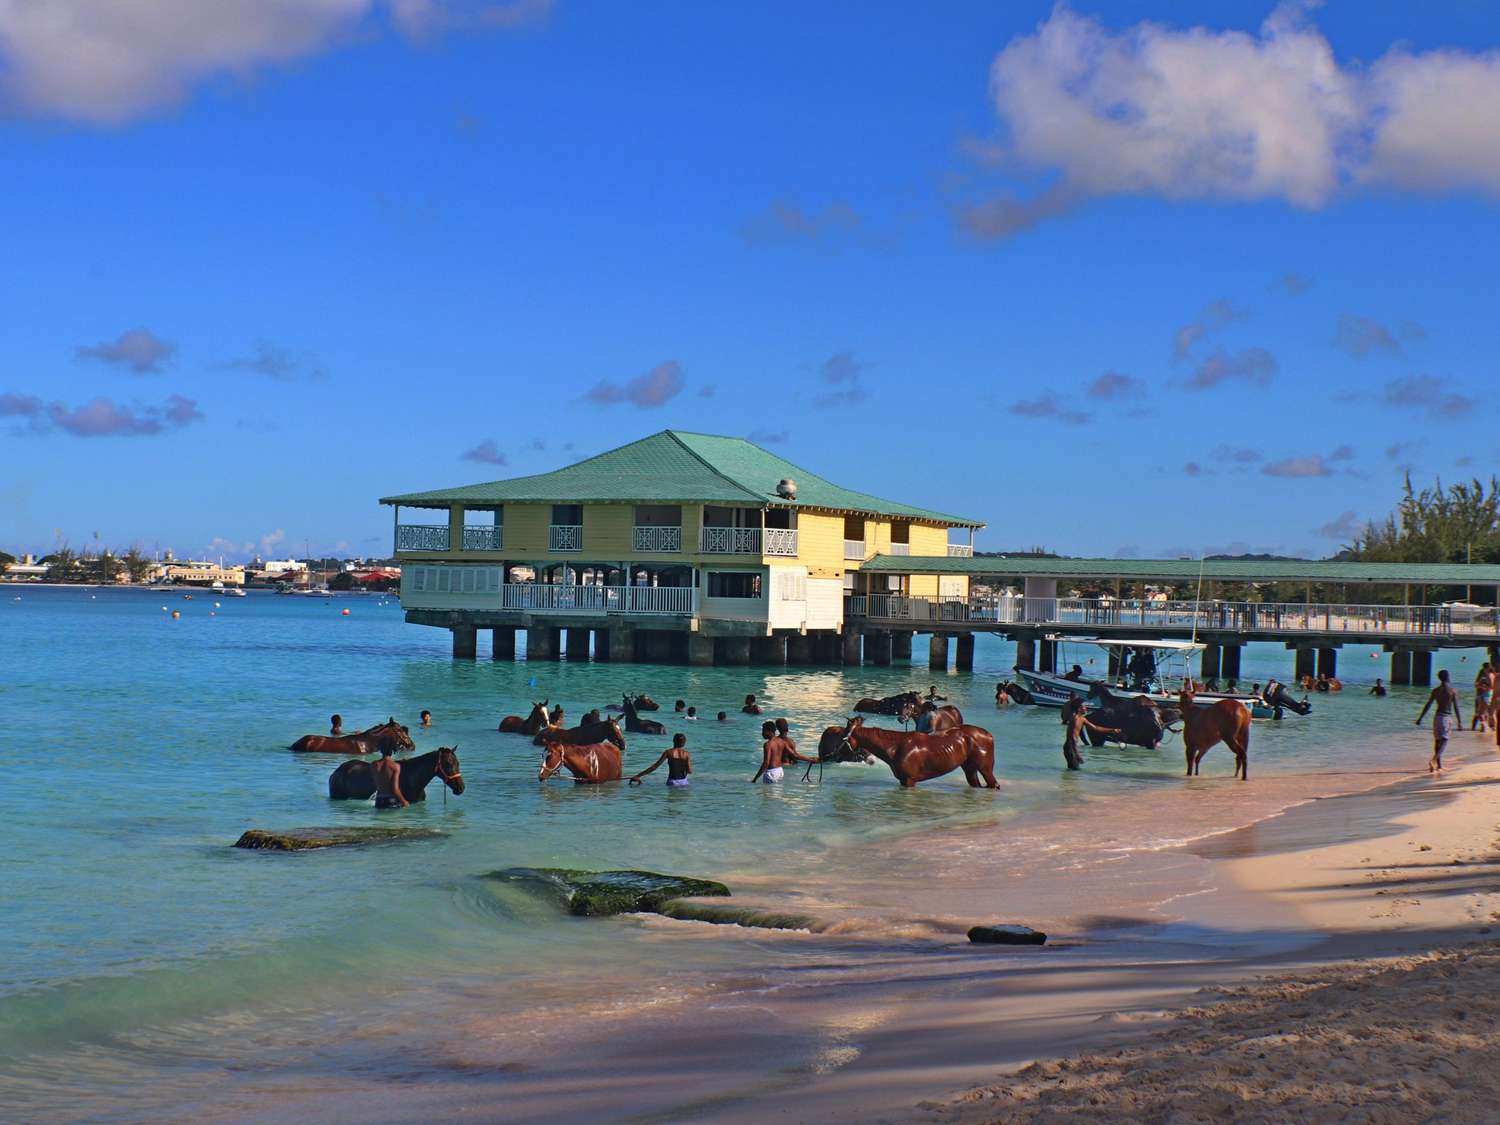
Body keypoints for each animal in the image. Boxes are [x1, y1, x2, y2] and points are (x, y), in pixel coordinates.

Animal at [840, 717, 1002, 786]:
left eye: (844, 735)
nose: (838, 752)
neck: (896, 746)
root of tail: (988, 735)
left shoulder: (909, 779)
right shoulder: (903, 780)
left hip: (985, 768)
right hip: (969, 767)